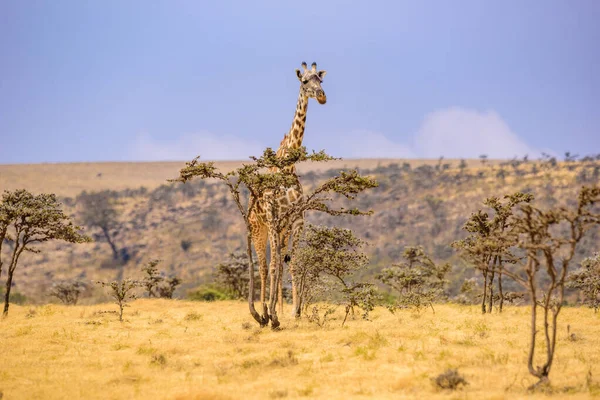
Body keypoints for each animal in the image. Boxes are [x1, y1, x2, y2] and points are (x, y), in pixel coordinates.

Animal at [248, 61, 328, 318]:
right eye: (304, 81)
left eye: (320, 80)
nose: (322, 97)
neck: (289, 164)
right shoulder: (273, 221)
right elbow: (273, 266)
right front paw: (271, 312)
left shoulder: (296, 221)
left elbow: (293, 264)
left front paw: (294, 311)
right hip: (258, 228)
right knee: (264, 267)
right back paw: (262, 311)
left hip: (280, 231)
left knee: (278, 264)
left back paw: (278, 310)